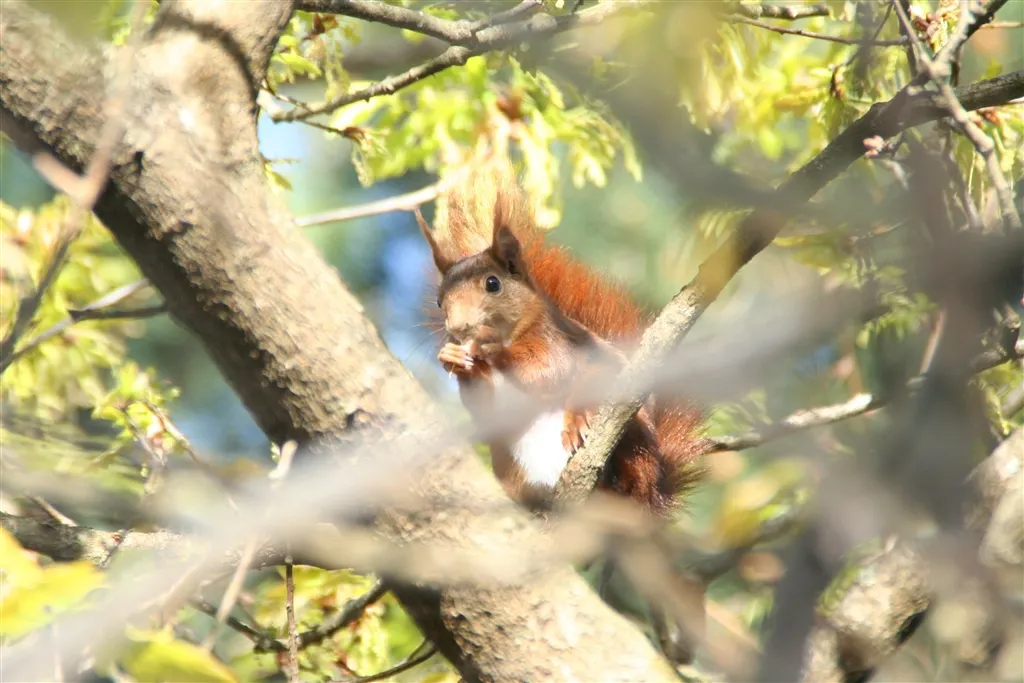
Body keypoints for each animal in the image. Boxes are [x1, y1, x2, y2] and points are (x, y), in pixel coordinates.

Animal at [416, 157, 707, 515]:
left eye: (493, 284)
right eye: (440, 300)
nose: (458, 328)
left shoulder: (556, 340)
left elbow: (547, 369)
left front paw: (491, 345)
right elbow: (487, 410)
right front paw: (454, 359)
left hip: (634, 440)